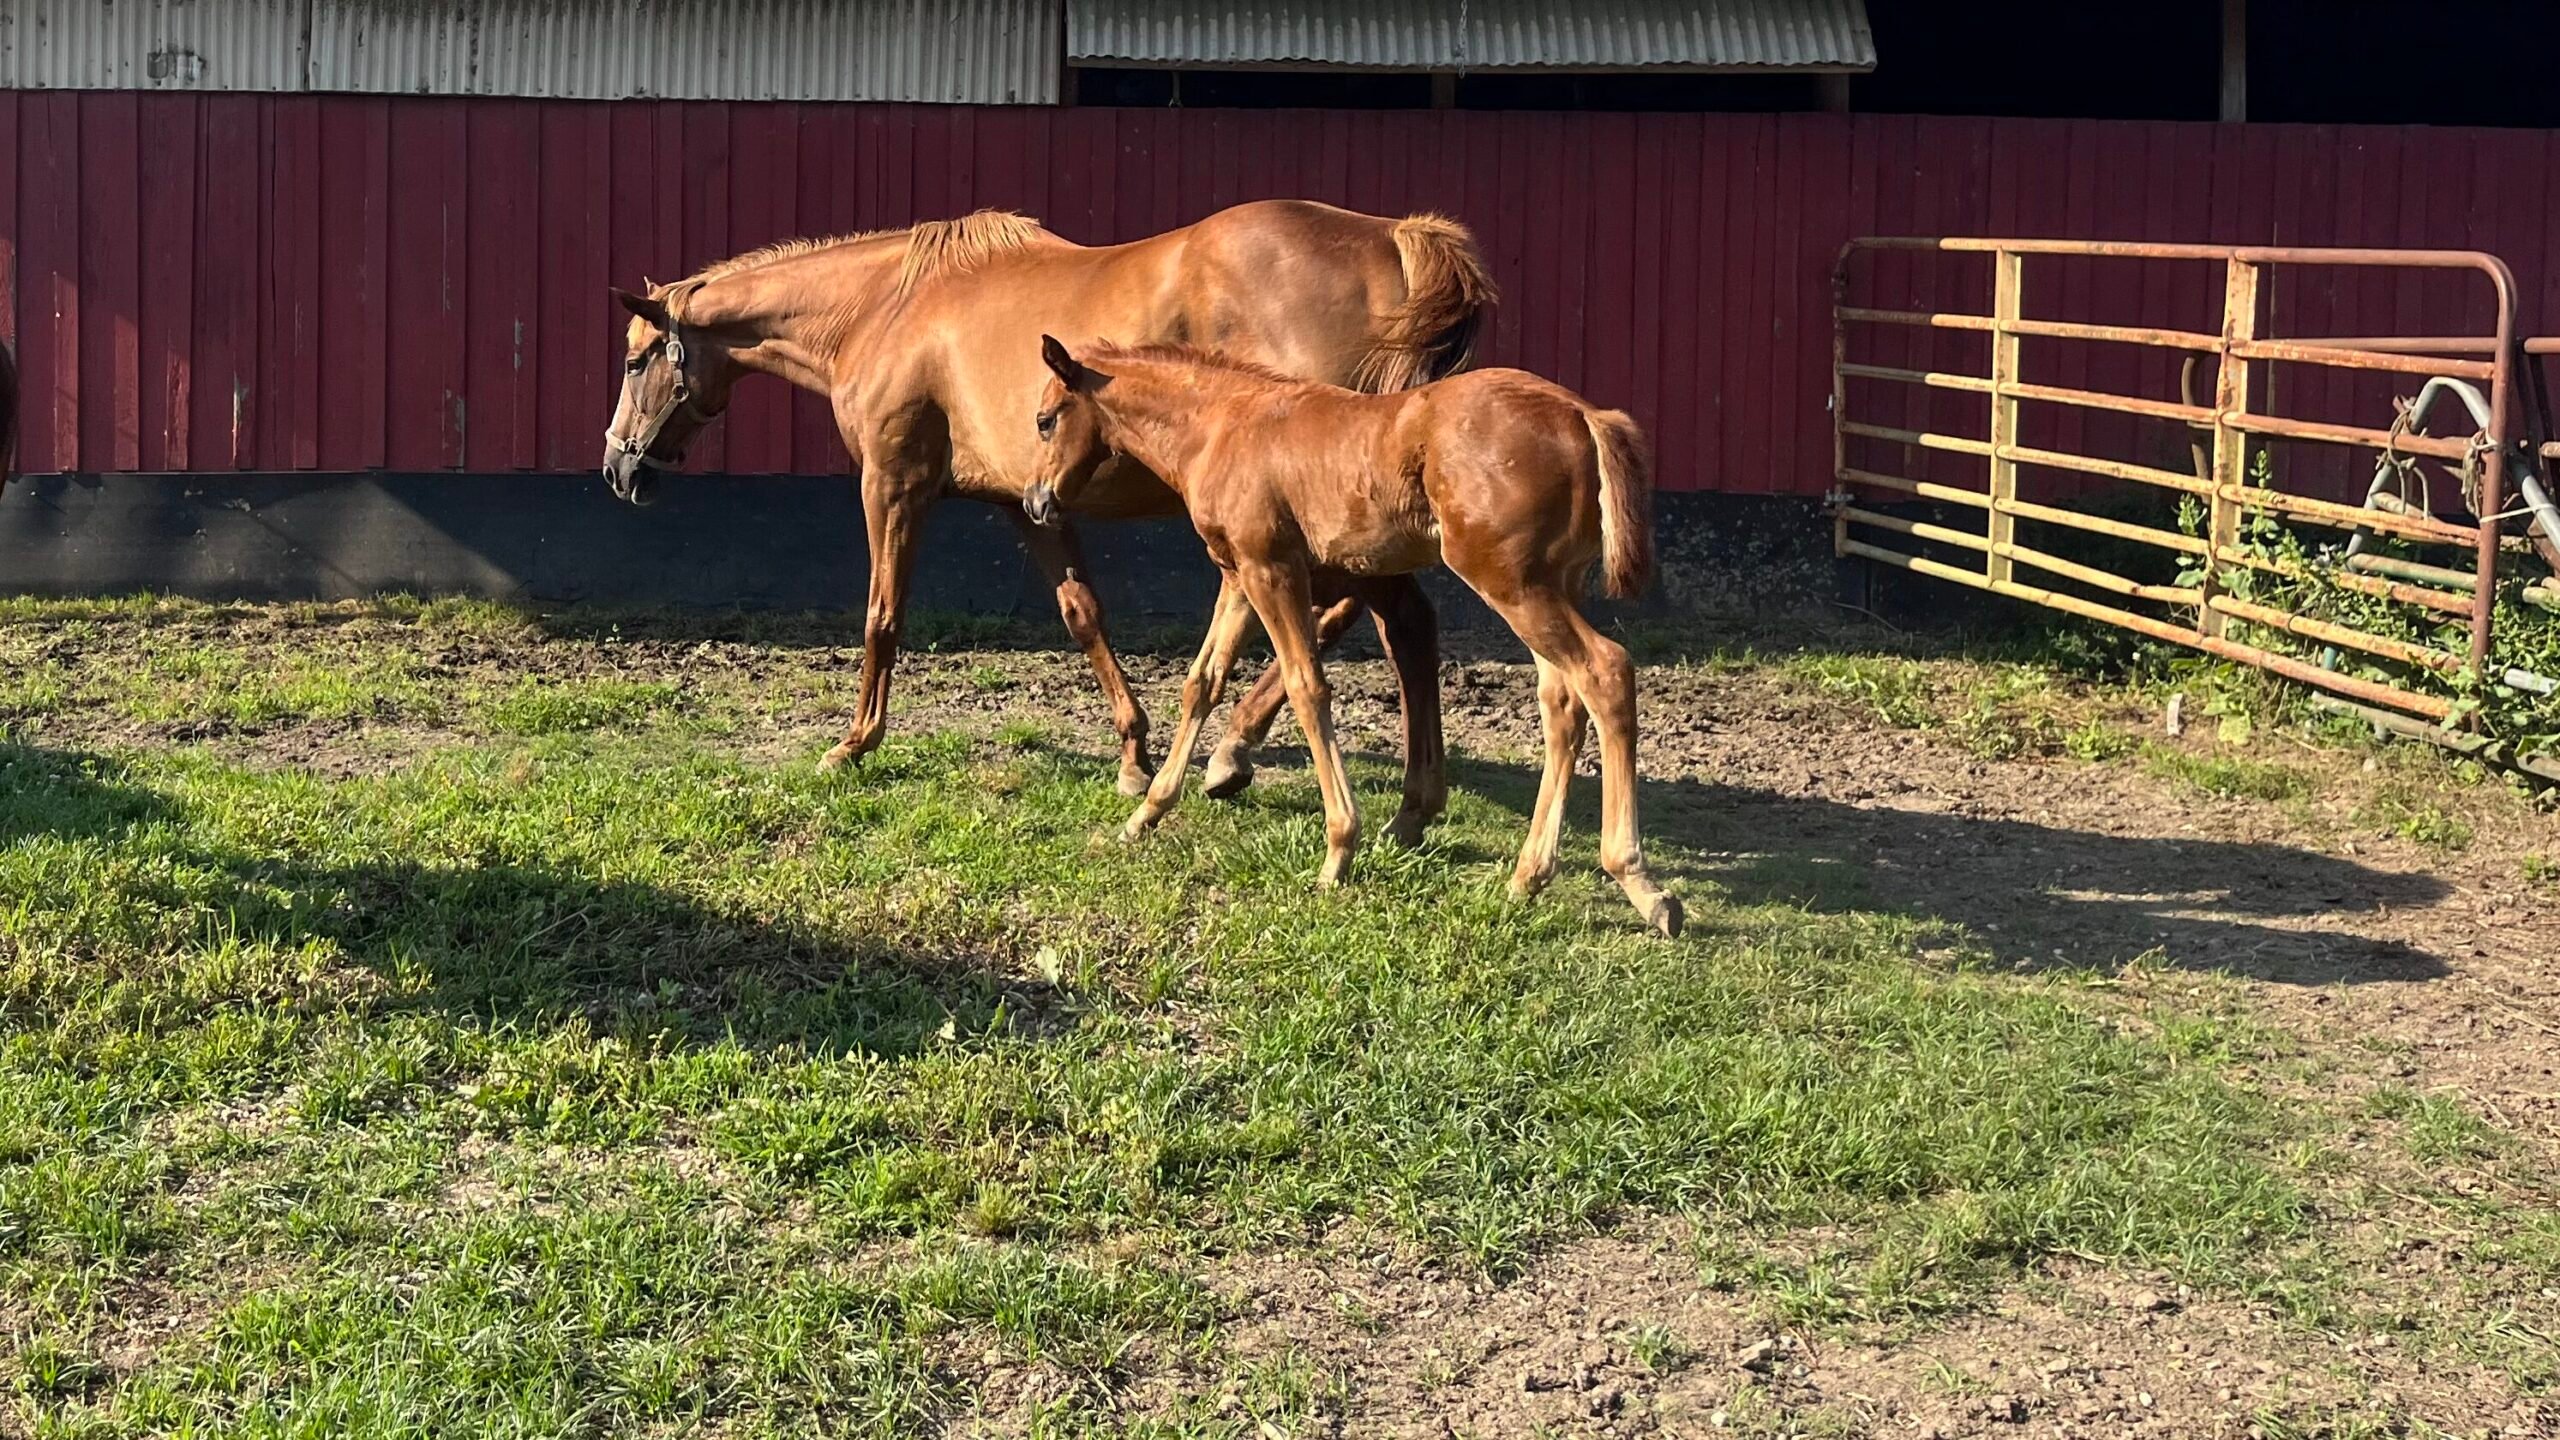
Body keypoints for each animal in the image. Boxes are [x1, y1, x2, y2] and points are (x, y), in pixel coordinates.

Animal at [601, 200, 1494, 813]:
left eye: (639, 359)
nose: (617, 466)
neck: (887, 307)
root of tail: (1396, 239)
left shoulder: (891, 484)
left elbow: (882, 618)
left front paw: (855, 744)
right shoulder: (1024, 503)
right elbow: (1082, 613)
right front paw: (1133, 753)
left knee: (1350, 613)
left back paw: (1236, 748)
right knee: (1381, 618)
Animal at [1023, 337, 1683, 939]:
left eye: (1045, 419)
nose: (1035, 500)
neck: (1220, 426)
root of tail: (1585, 415)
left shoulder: (1272, 569)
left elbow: (1306, 687)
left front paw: (1338, 850)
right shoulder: (1236, 574)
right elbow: (1201, 683)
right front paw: (1147, 812)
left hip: (1510, 581)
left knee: (1606, 671)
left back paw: (1637, 882)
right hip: (1550, 584)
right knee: (1563, 702)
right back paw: (1528, 876)